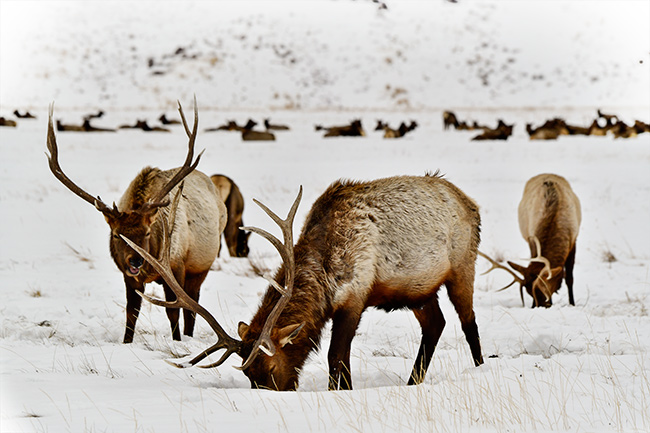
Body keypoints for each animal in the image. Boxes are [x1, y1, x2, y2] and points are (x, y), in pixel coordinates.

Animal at [46, 99, 227, 342]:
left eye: (147, 232)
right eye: (116, 234)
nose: (136, 261)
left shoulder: (177, 267)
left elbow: (174, 311)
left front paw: (177, 341)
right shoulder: (128, 277)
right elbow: (131, 312)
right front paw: (126, 342)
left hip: (201, 266)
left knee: (192, 306)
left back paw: (189, 336)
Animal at [126, 173, 480, 392]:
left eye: (269, 370)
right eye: (249, 375)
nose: (271, 393)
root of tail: (470, 202)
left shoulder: (355, 297)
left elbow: (337, 358)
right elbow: (338, 359)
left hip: (463, 266)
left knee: (468, 322)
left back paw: (478, 369)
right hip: (419, 290)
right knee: (435, 324)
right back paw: (412, 382)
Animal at [478, 173, 580, 308]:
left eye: (543, 291)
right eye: (529, 292)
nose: (538, 307)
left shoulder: (573, 241)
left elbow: (569, 278)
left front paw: (572, 303)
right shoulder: (530, 239)